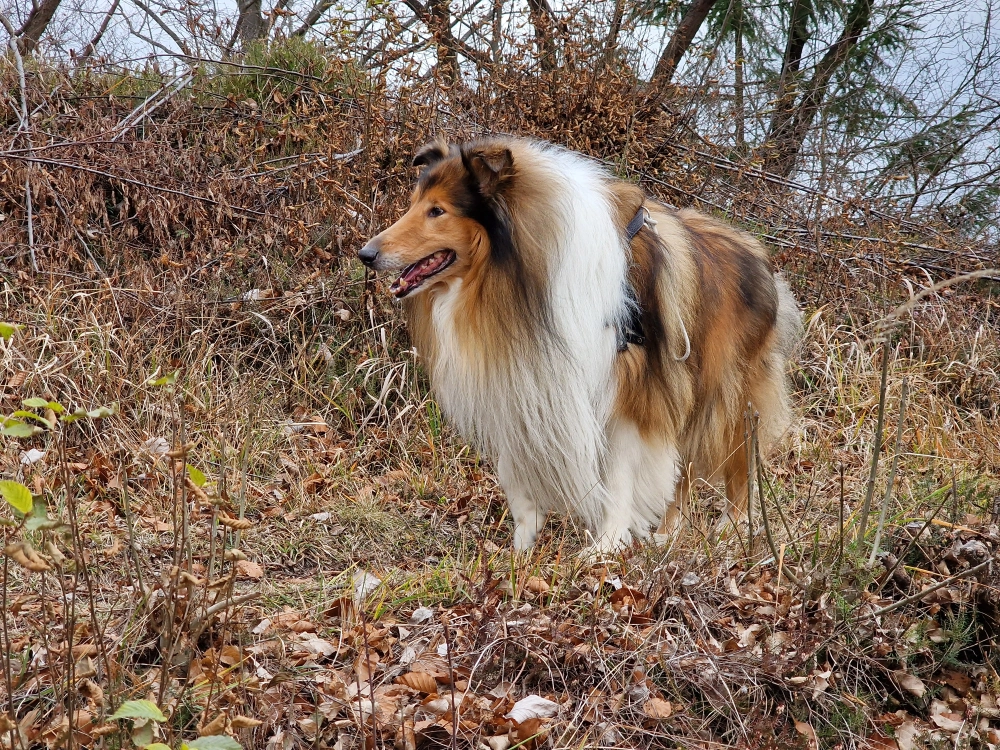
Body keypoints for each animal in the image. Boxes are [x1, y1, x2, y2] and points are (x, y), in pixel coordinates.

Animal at [356, 137, 800, 552]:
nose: (366, 254)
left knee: (736, 465)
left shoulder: (629, 395)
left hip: (723, 398)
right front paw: (521, 549)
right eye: (414, 204)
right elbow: (517, 480)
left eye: (437, 211)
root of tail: (760, 255)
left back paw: (730, 531)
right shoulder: (521, 382)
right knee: (684, 473)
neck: (521, 279)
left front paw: (605, 548)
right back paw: (667, 534)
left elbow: (620, 478)